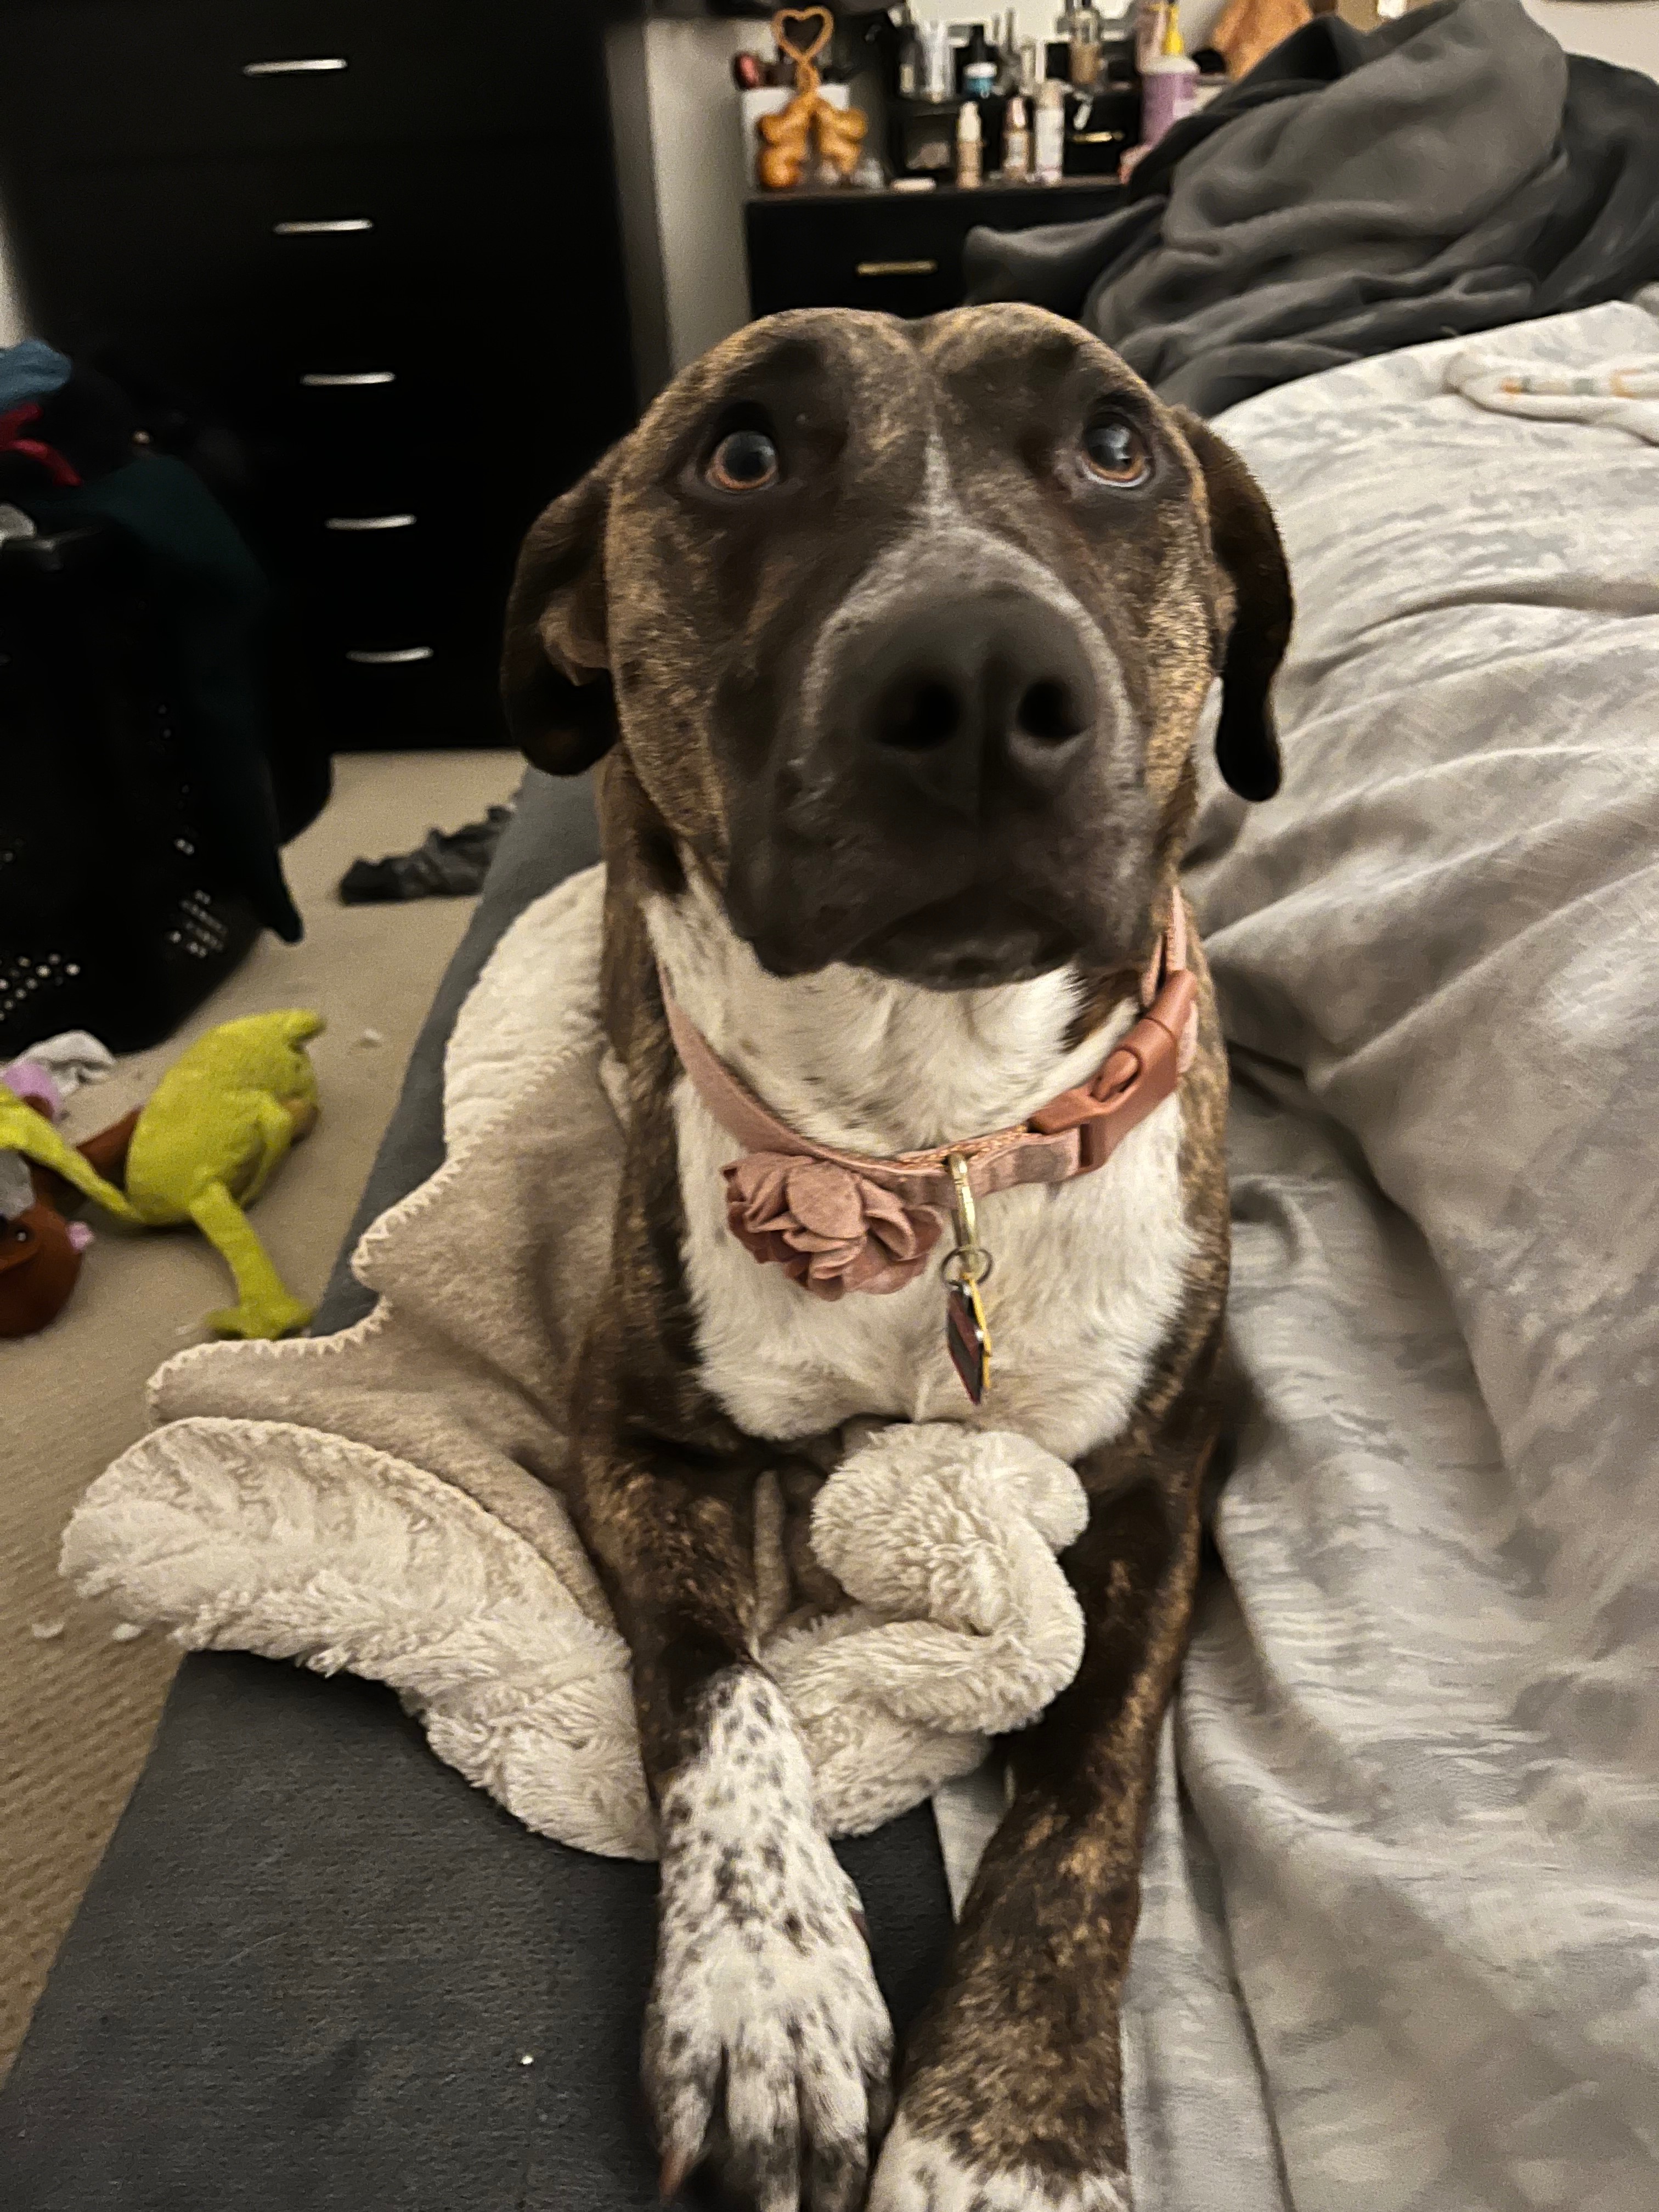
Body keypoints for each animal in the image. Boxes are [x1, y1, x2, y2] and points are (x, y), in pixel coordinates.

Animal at [500, 302, 1292, 2212]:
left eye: (1116, 446)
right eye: (740, 453)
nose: (983, 682)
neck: (928, 1138)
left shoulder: (1161, 1491)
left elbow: (1088, 1787)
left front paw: (1009, 2128)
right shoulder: (636, 1435)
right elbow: (717, 1694)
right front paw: (764, 1996)